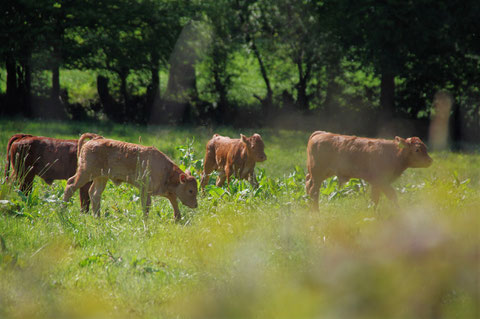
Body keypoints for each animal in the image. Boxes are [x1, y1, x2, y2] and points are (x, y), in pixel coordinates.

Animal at [63, 134, 199, 221]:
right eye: (190, 190)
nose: (196, 205)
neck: (166, 170)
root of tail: (96, 138)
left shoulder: (164, 191)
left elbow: (174, 201)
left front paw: (178, 218)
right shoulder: (145, 190)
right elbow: (146, 206)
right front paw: (146, 220)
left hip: (101, 177)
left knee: (94, 193)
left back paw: (97, 217)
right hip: (85, 173)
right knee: (71, 184)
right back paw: (62, 210)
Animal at [306, 131, 434, 211]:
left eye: (425, 148)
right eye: (417, 149)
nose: (430, 160)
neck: (393, 153)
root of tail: (321, 134)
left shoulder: (376, 184)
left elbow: (375, 199)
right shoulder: (381, 181)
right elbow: (391, 196)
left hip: (321, 174)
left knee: (308, 185)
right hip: (317, 174)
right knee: (314, 191)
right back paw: (316, 212)